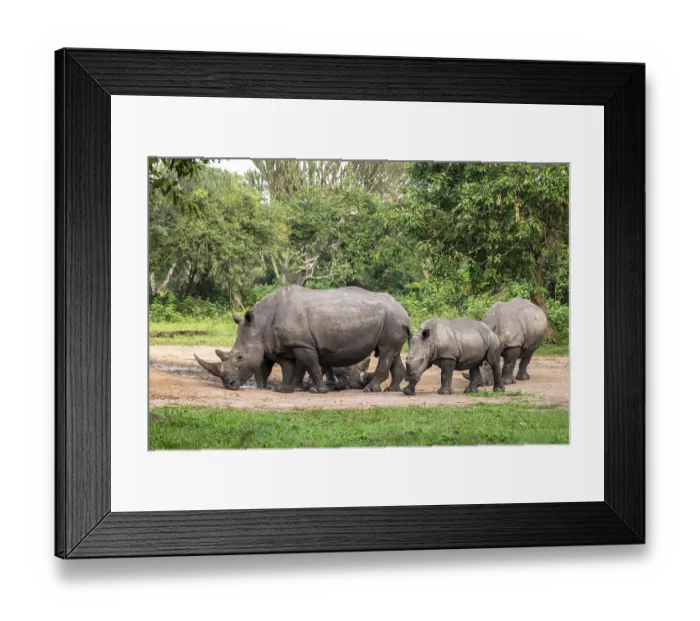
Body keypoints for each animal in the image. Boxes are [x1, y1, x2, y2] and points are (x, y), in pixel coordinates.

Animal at [194, 285, 409, 393]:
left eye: (239, 357)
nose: (228, 384)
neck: (260, 324)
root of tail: (402, 308)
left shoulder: (303, 344)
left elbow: (311, 365)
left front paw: (317, 391)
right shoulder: (286, 345)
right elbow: (289, 368)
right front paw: (283, 390)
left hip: (393, 318)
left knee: (386, 352)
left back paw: (371, 390)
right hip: (393, 320)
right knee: (392, 352)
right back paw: (392, 390)